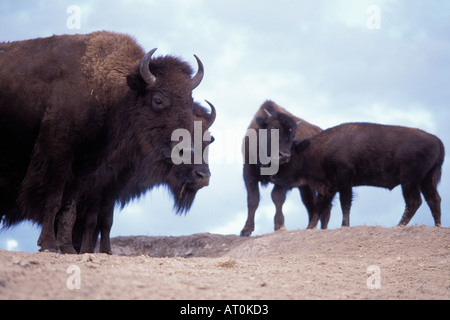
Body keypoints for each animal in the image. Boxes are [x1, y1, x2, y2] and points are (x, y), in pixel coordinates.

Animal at [0, 31, 207, 252]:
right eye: (158, 100)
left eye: (189, 102)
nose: (187, 150)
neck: (109, 91)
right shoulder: (59, 154)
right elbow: (54, 198)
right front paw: (48, 244)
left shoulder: (83, 169)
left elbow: (69, 208)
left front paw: (68, 248)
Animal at [239, 100, 326, 238]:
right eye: (272, 128)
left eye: (293, 134)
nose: (284, 155)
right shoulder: (248, 173)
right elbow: (253, 200)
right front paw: (246, 230)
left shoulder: (283, 179)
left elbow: (277, 197)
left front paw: (280, 226)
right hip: (305, 187)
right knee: (309, 203)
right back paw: (311, 227)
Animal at [268, 122, 444, 228]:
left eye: (288, 156)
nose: (272, 176)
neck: (319, 150)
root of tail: (438, 141)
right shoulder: (329, 187)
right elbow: (319, 208)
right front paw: (309, 228)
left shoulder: (344, 181)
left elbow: (345, 203)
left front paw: (344, 225)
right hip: (426, 180)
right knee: (433, 199)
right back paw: (437, 226)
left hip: (410, 180)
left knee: (414, 201)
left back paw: (398, 225)